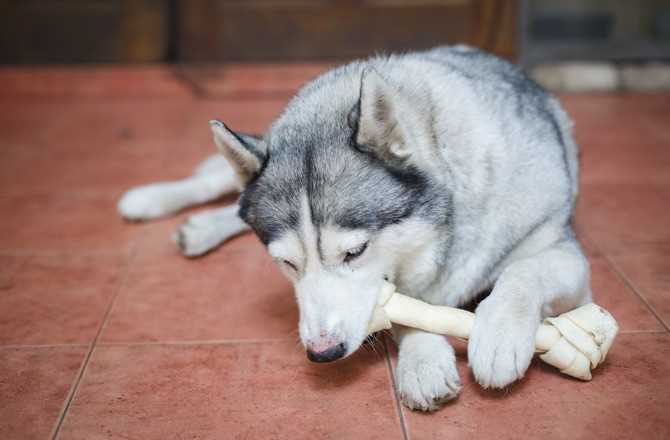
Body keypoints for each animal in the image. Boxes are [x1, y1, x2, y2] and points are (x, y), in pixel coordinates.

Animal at [119, 47, 592, 412]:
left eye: (355, 252)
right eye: (286, 263)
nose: (322, 353)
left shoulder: (562, 253)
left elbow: (522, 273)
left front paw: (498, 334)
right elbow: (408, 310)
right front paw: (423, 358)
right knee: (222, 185)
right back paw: (154, 201)